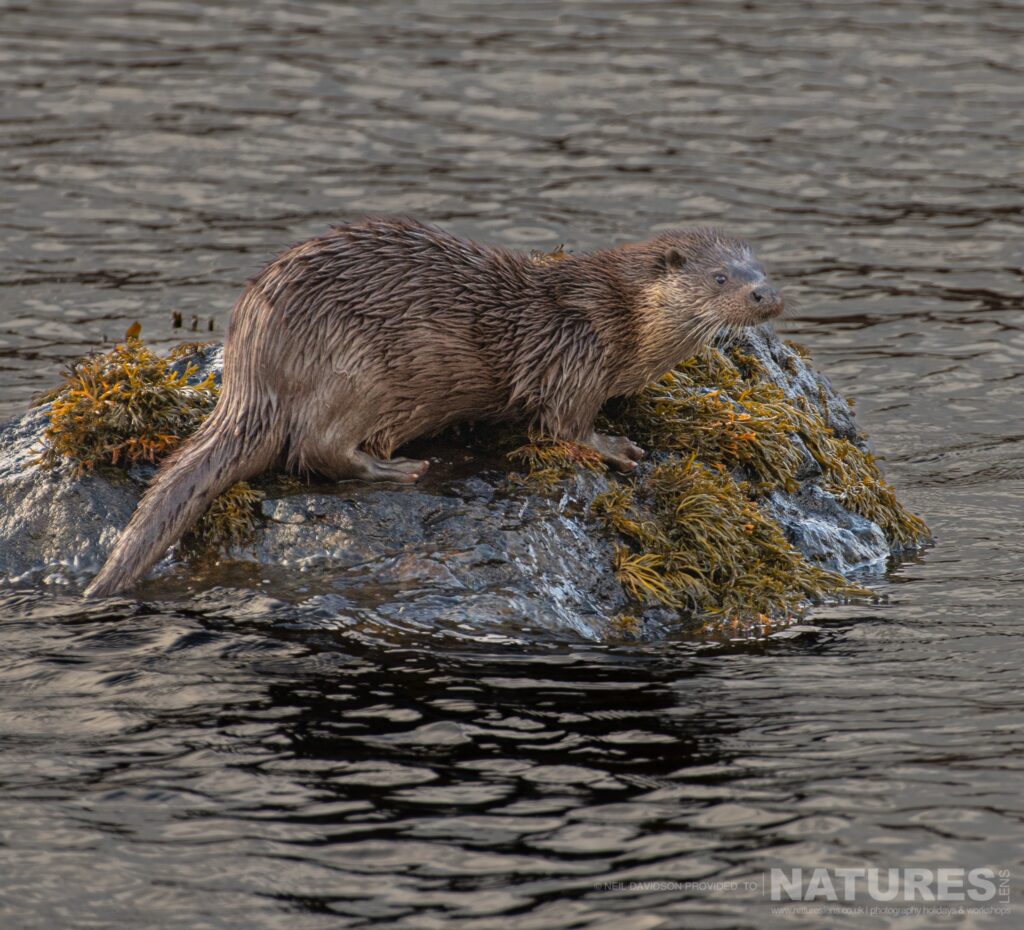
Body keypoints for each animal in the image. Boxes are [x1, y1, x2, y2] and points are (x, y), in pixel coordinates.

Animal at [83, 218, 782, 594]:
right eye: (721, 278)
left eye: (760, 270)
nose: (766, 296)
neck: (621, 319)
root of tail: (249, 368)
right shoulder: (573, 351)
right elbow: (564, 423)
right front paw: (617, 447)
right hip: (356, 368)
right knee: (314, 448)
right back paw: (397, 469)